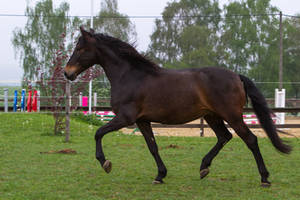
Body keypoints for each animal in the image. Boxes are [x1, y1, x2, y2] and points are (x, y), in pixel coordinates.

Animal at [63, 25, 290, 187]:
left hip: (232, 116)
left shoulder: (125, 118)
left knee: (250, 140)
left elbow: (98, 133)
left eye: (80, 49)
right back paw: (204, 168)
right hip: (212, 116)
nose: (67, 72)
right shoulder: (142, 121)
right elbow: (152, 146)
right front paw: (160, 175)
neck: (130, 76)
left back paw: (264, 178)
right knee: (224, 137)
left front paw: (106, 163)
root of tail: (236, 76)